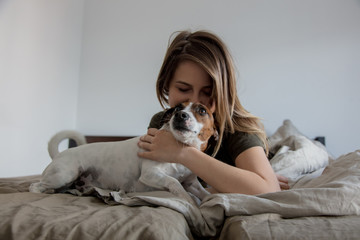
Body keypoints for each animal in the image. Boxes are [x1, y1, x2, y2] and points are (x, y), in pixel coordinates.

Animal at [29, 102, 218, 203]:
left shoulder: (192, 183)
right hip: (65, 174)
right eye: (178, 108)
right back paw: (47, 191)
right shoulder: (150, 174)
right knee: (34, 187)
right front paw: (187, 199)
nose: (180, 115)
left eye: (202, 110)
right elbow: (174, 182)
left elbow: (205, 193)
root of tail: (59, 155)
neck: (180, 148)